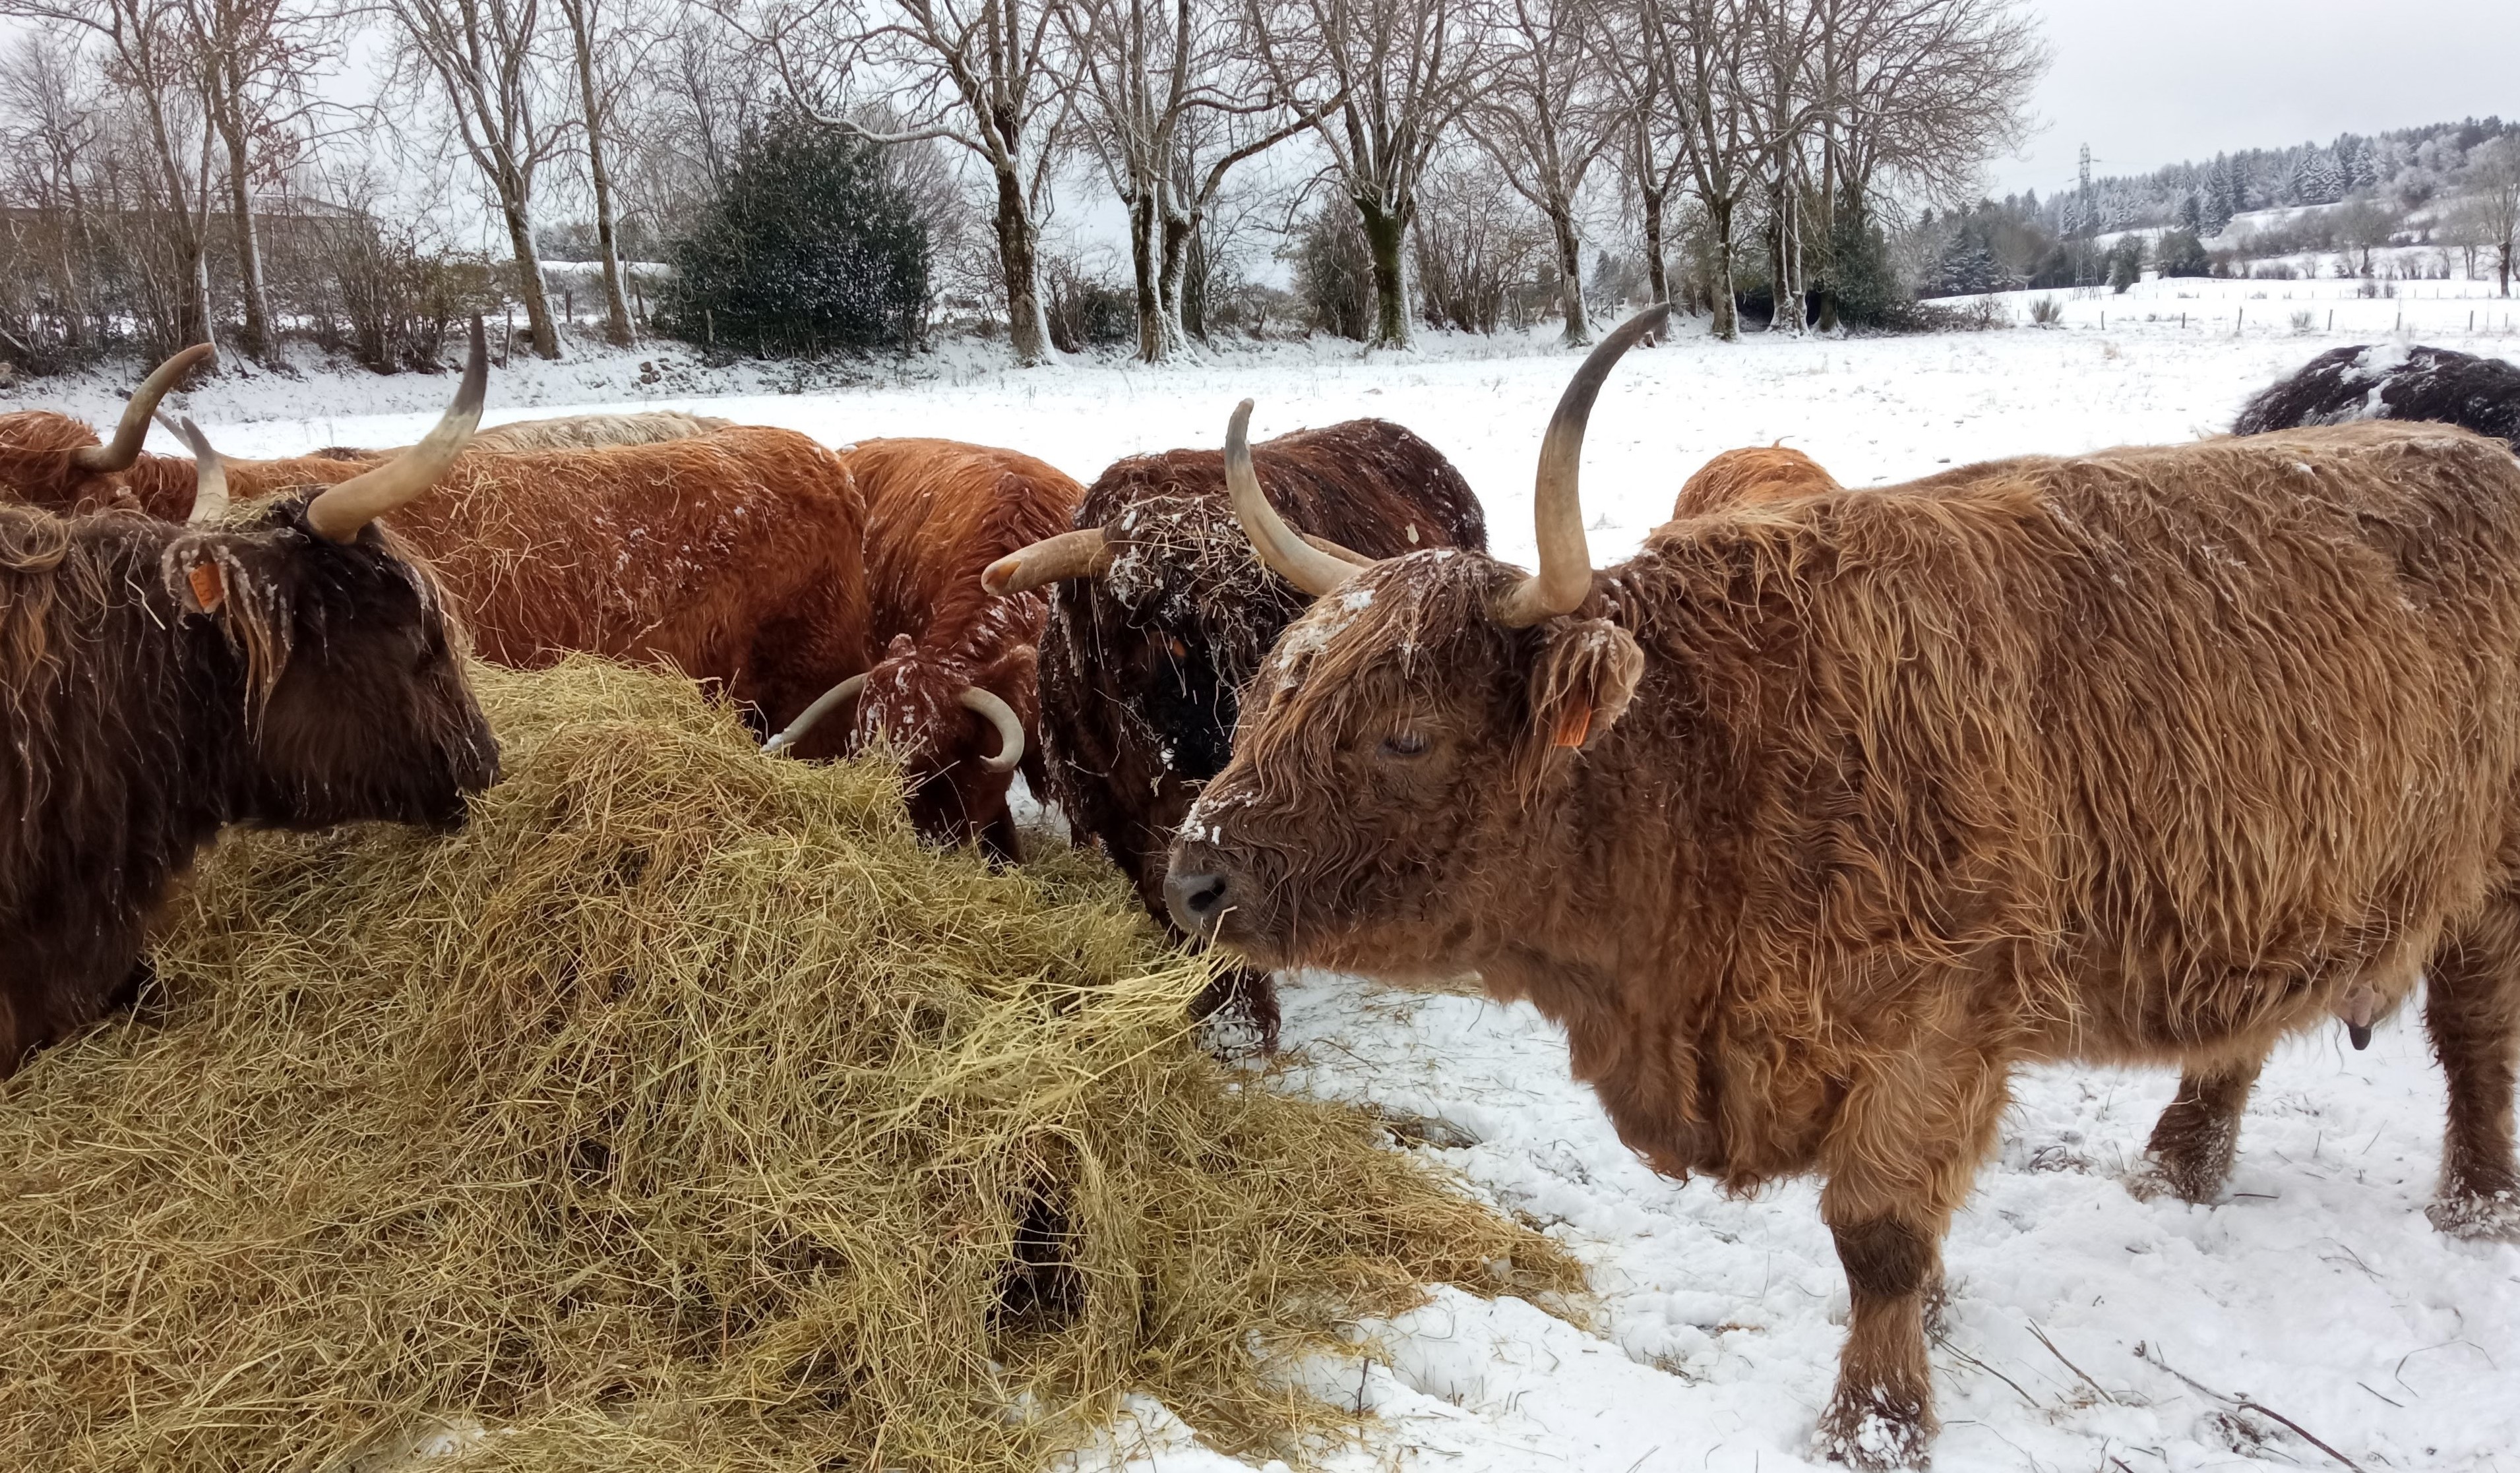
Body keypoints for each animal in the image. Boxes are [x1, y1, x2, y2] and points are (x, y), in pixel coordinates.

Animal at [1169, 307, 2520, 1460]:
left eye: (1404, 735)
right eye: (1271, 693)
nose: (1191, 875)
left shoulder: (1937, 1021)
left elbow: (1877, 1235)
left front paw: (1878, 1420)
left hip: (2493, 880)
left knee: (2474, 1039)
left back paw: (2474, 1206)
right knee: (2241, 1032)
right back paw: (2178, 1168)